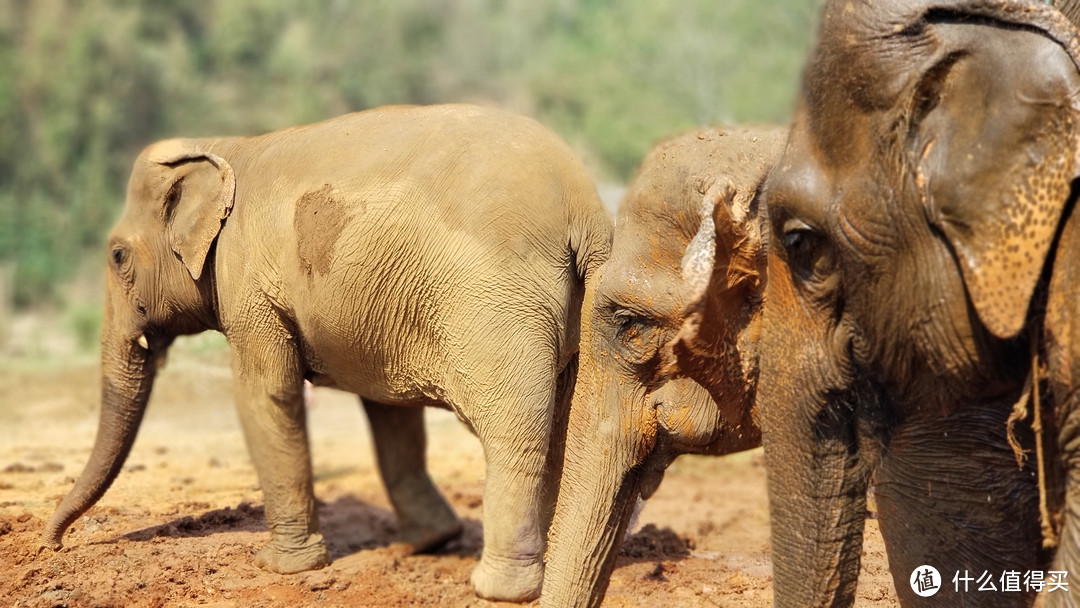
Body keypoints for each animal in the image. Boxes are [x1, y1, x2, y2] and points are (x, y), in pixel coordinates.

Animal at [39, 102, 617, 600]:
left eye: (117, 256)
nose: (54, 543)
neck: (222, 147)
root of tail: (588, 212)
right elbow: (389, 413)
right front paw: (426, 543)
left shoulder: (248, 281)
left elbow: (265, 397)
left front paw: (279, 566)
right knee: (565, 429)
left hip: (498, 305)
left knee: (513, 434)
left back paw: (502, 589)